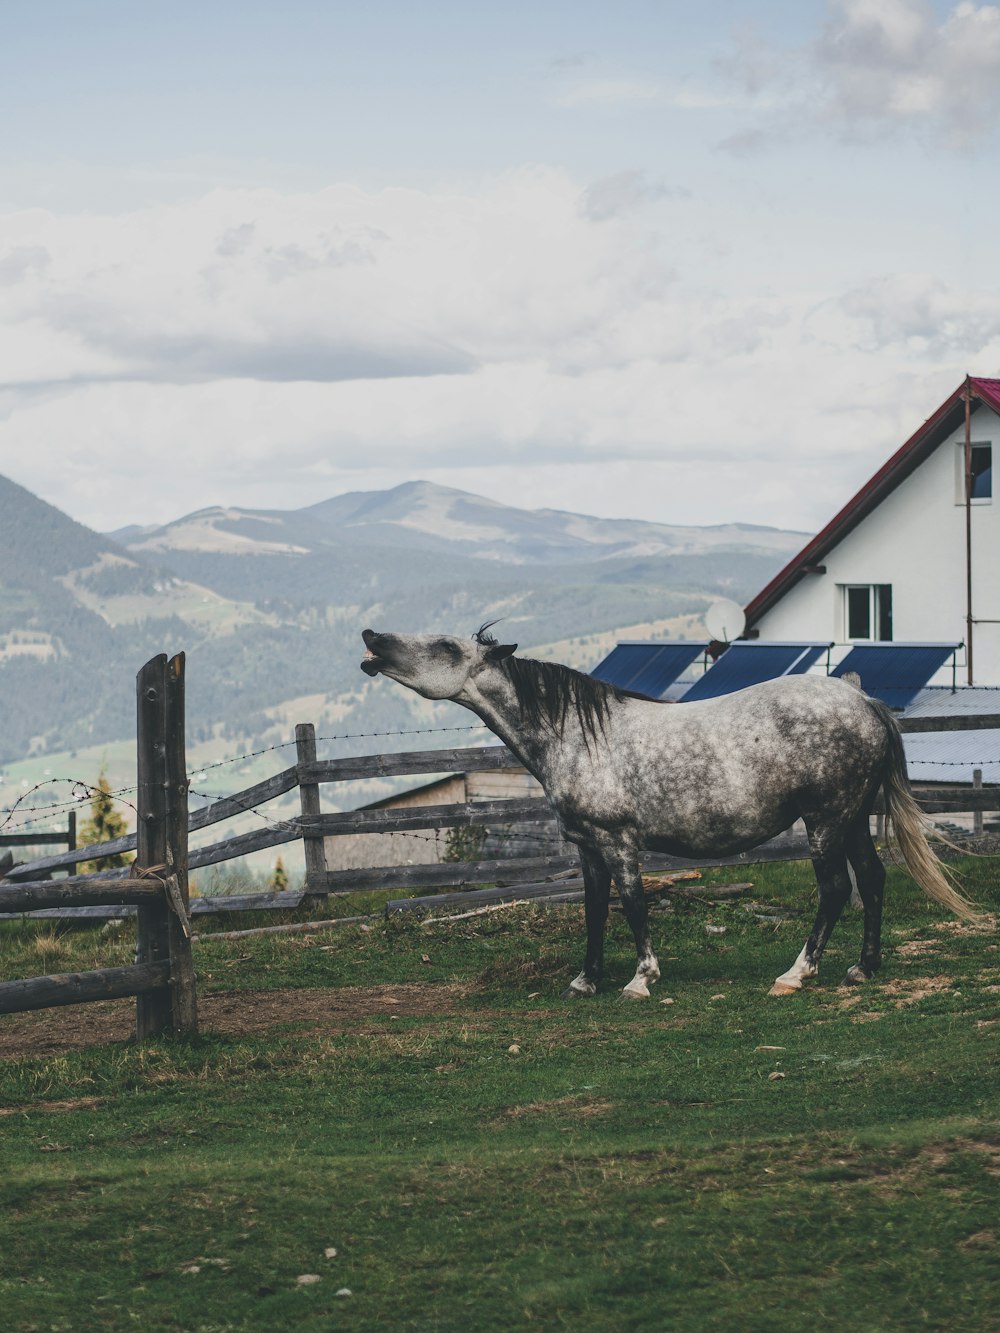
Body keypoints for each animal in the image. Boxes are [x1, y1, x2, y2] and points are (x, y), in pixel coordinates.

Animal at [360, 629, 970, 997]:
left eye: (445, 645)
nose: (371, 639)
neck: (578, 736)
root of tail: (865, 702)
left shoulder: (620, 844)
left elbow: (633, 907)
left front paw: (641, 979)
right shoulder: (589, 849)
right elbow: (595, 913)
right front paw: (586, 981)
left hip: (825, 822)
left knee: (838, 889)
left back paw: (796, 973)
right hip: (851, 819)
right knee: (872, 878)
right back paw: (864, 967)